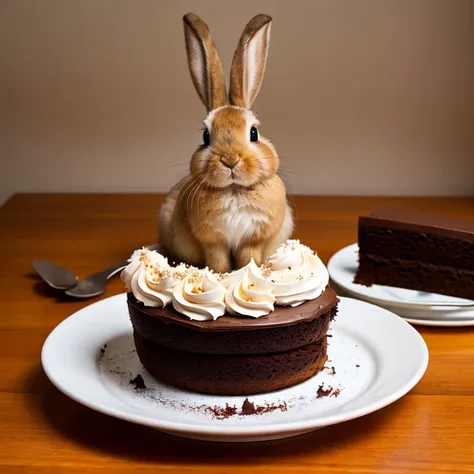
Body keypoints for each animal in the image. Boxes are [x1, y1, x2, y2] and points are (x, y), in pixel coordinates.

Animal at [159, 12, 292, 274]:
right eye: (205, 136)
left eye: (254, 133)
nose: (230, 160)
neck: (234, 190)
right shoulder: (212, 241)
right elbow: (218, 260)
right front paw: (220, 275)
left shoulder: (253, 240)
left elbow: (248, 258)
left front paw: (248, 272)